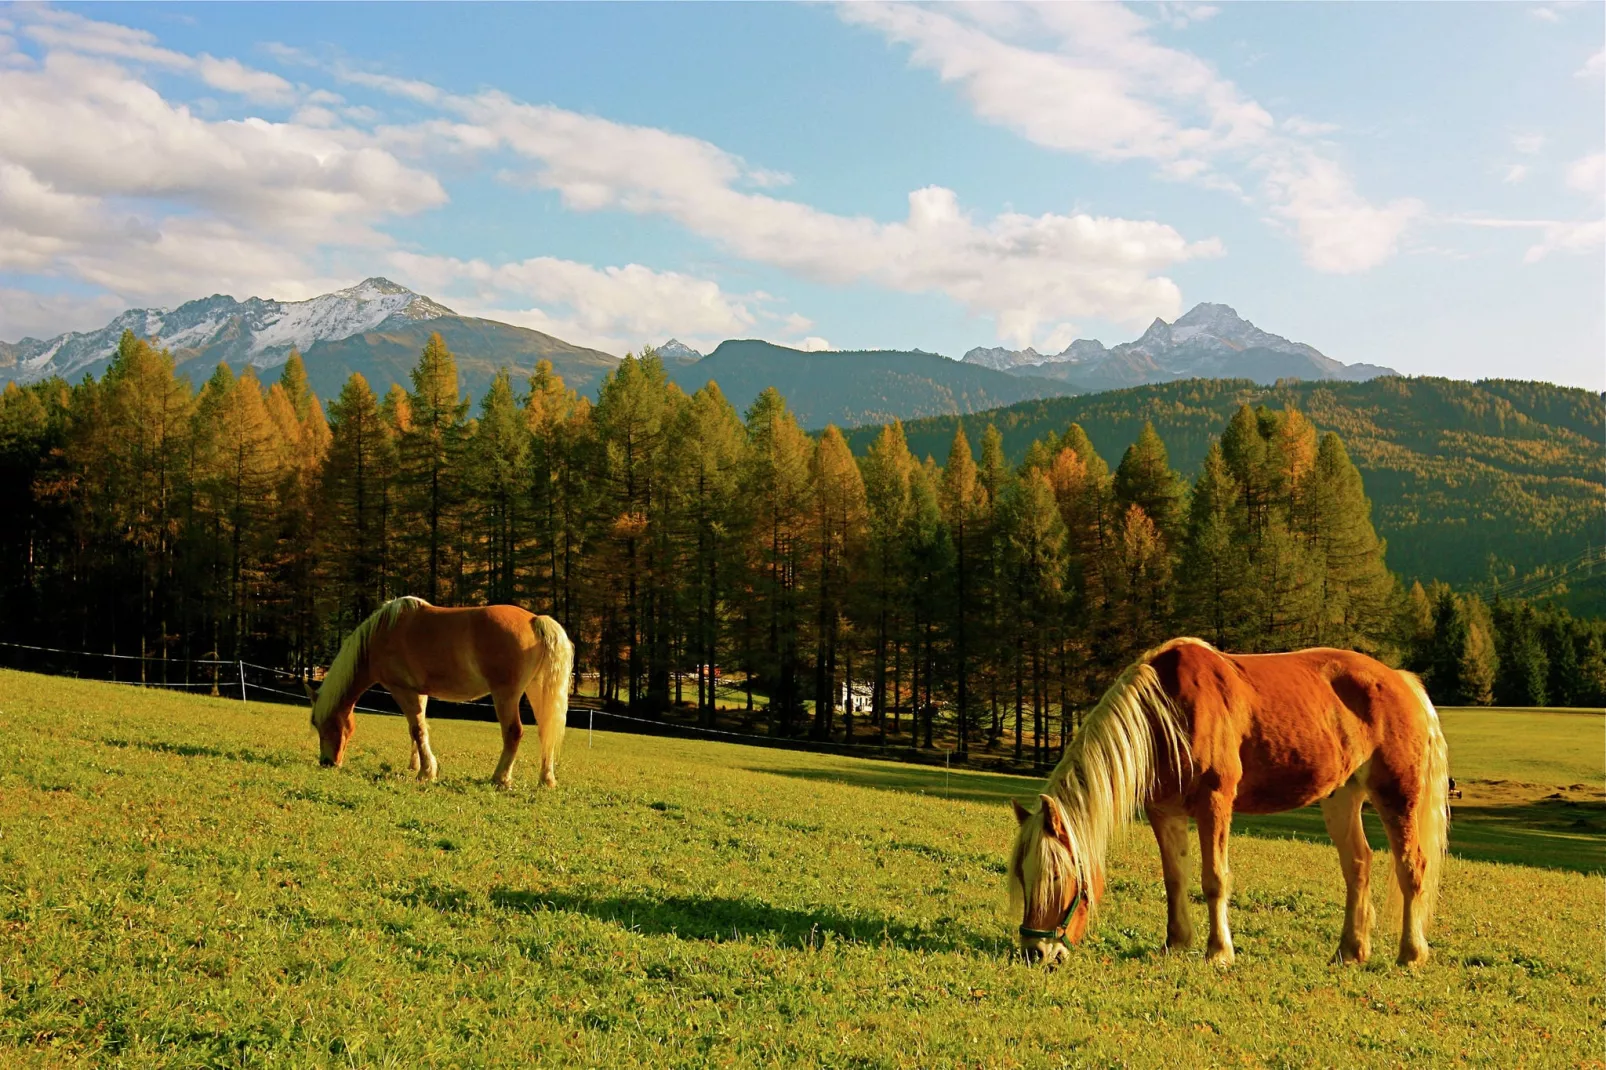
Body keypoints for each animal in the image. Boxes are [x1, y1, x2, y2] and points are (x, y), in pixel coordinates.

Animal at [303, 594, 574, 787]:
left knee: (513, 733)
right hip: (536, 691)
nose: (327, 763)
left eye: (320, 723)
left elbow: (418, 729)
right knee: (545, 732)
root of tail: (535, 620)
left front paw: (426, 773)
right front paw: (417, 766)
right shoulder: (419, 692)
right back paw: (546, 779)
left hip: (505, 696)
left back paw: (500, 778)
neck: (381, 635)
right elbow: (417, 729)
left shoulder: (402, 690)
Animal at [1014, 633, 1458, 963]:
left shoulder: (1215, 801)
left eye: (1056, 876)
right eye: (1022, 876)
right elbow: (1175, 877)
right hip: (1341, 797)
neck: (1167, 712)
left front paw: (1218, 952)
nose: (1036, 952)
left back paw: (1411, 954)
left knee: (1411, 868)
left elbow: (1214, 879)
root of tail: (1401, 680)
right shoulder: (1164, 811)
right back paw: (1350, 951)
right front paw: (1175, 943)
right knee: (1358, 865)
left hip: (1398, 795)